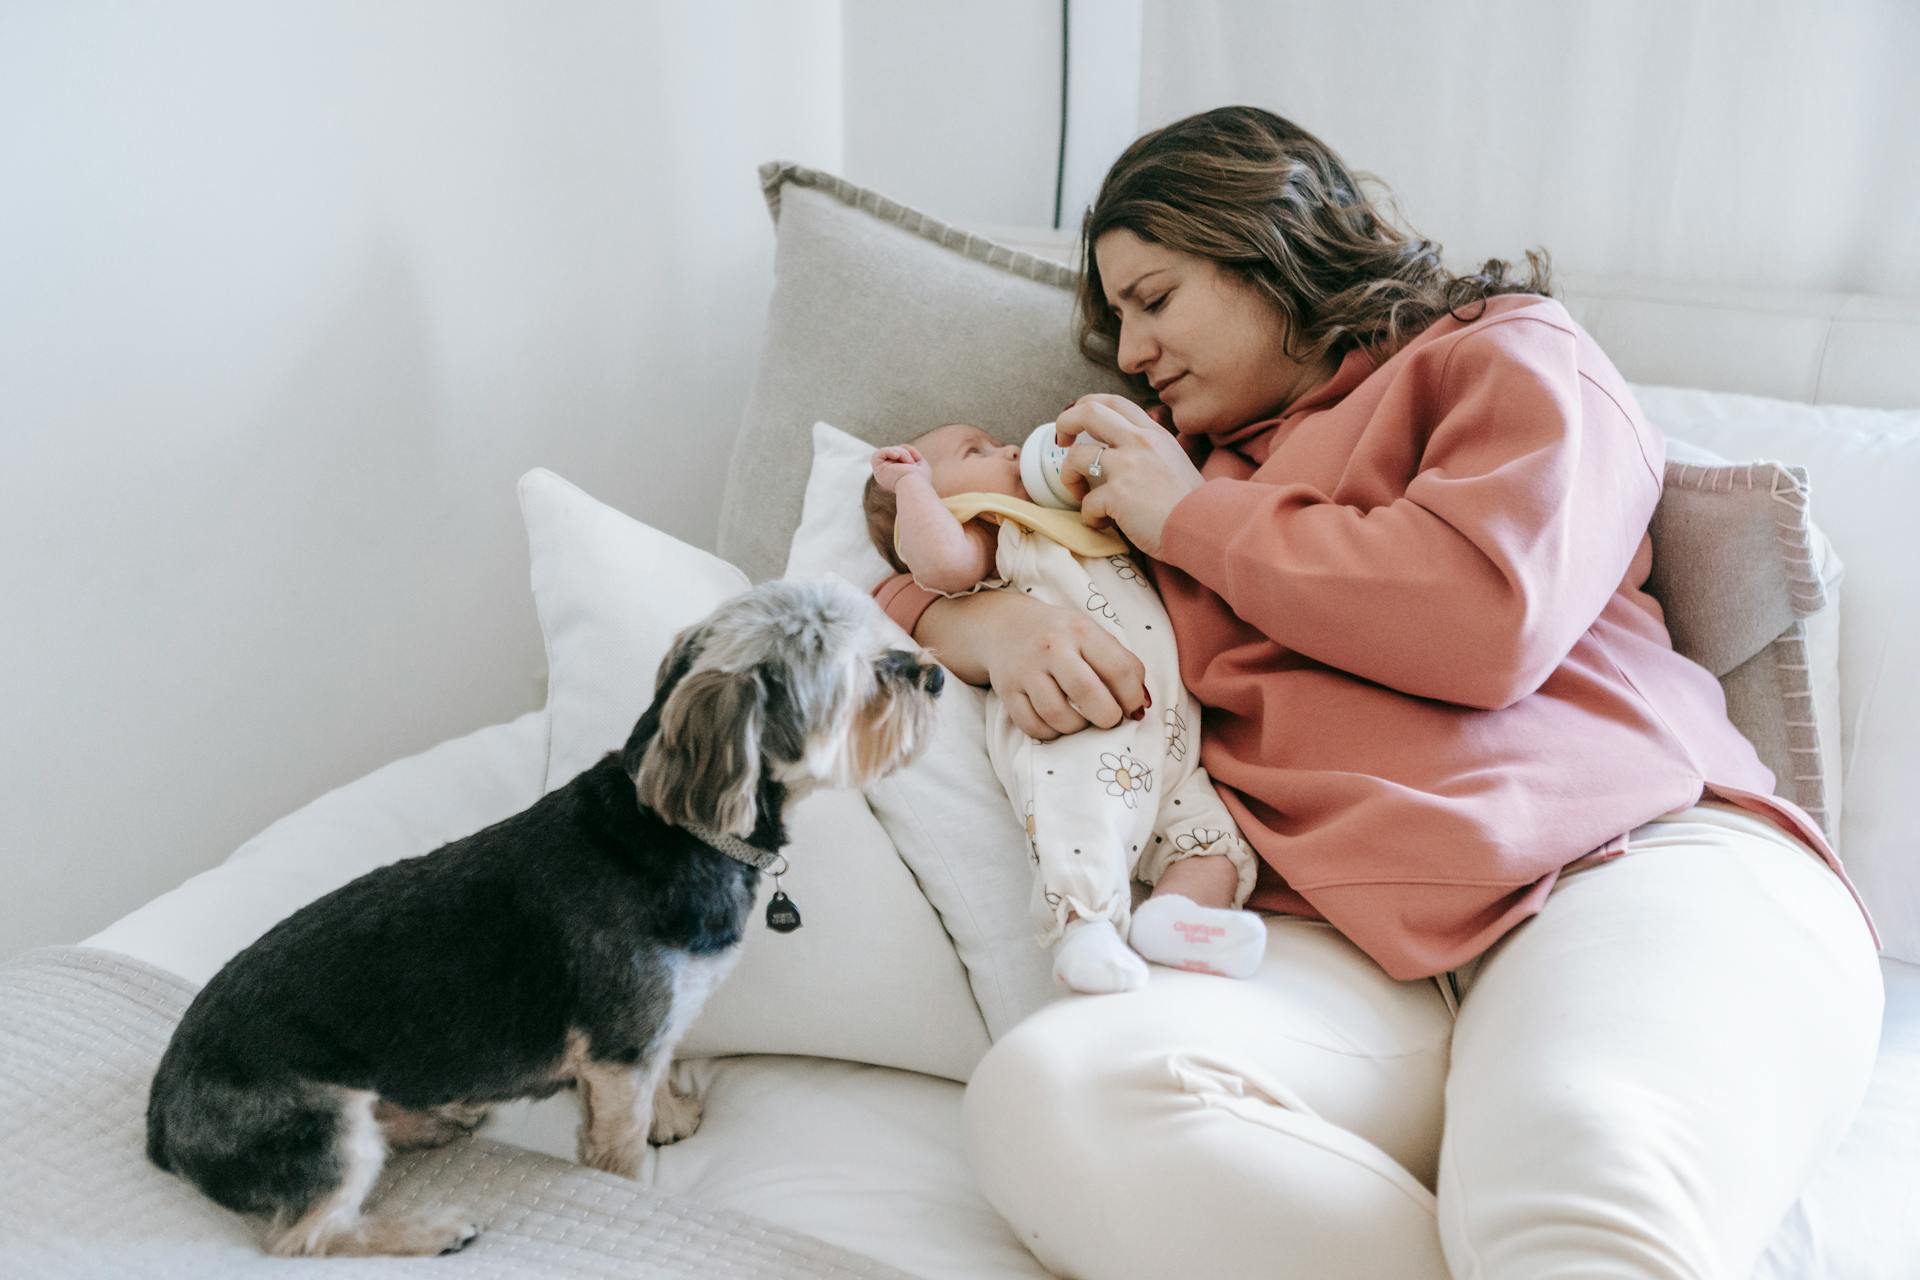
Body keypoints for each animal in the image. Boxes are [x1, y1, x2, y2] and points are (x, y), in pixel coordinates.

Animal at [145, 575, 940, 1258]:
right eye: (863, 677)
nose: (931, 675)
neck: (675, 828)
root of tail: (161, 1119)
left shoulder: (653, 1032)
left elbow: (664, 1071)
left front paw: (672, 1115)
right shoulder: (621, 1052)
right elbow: (619, 1145)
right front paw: (638, 1166)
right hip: (320, 1126)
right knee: (306, 1234)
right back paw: (427, 1229)